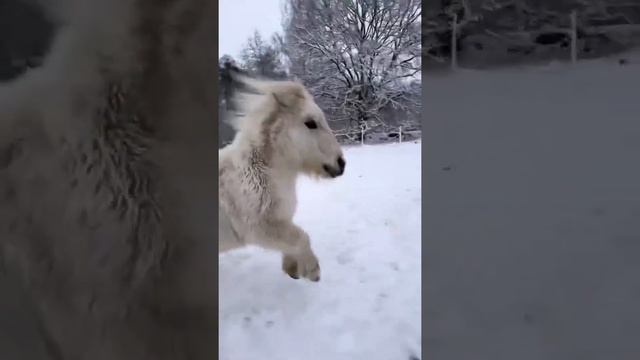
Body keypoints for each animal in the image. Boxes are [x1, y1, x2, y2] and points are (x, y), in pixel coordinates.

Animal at [219, 73, 344, 282]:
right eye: (310, 123)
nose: (341, 164)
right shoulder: (259, 228)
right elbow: (301, 237)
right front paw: (312, 271)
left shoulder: (280, 222)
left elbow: (293, 240)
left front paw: (292, 268)